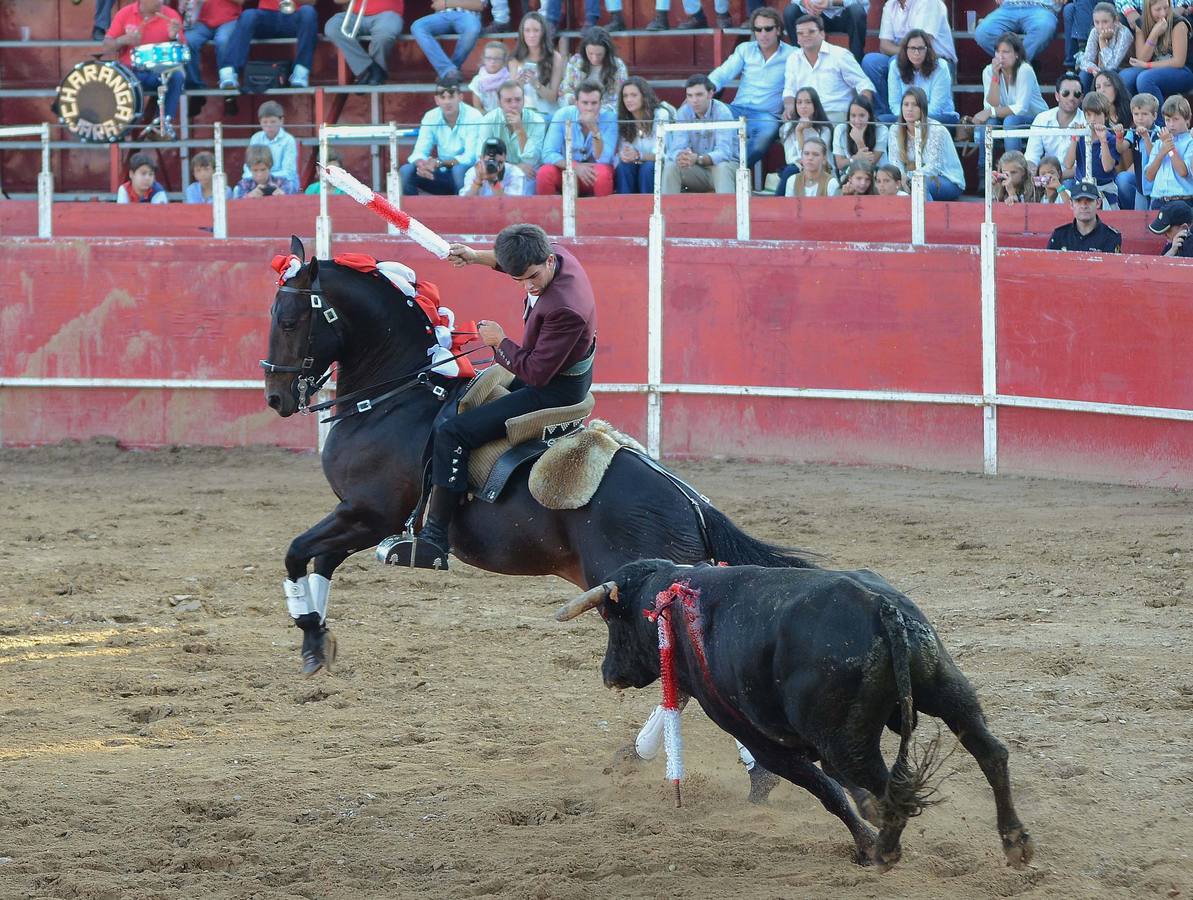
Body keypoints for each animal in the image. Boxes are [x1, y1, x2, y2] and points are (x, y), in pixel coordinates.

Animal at [558, 558, 1035, 864]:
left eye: (612, 618)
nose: (608, 673)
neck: (676, 601)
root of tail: (880, 607)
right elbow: (842, 788)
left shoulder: (765, 743)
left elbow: (829, 792)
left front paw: (865, 844)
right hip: (946, 689)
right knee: (990, 752)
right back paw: (1015, 841)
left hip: (846, 741)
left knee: (889, 787)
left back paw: (884, 851)